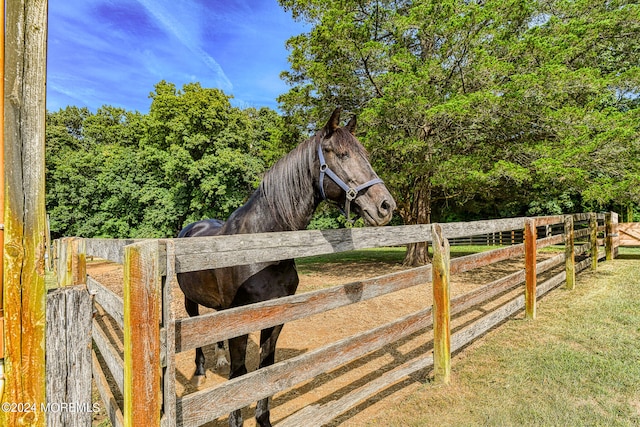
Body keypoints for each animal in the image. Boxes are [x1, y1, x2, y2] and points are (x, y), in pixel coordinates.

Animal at [176, 108, 396, 426]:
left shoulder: (276, 317)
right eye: (342, 154)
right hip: (189, 300)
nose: (385, 206)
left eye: (364, 155)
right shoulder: (241, 319)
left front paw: (263, 419)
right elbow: (239, 374)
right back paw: (201, 371)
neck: (262, 248)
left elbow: (265, 369)